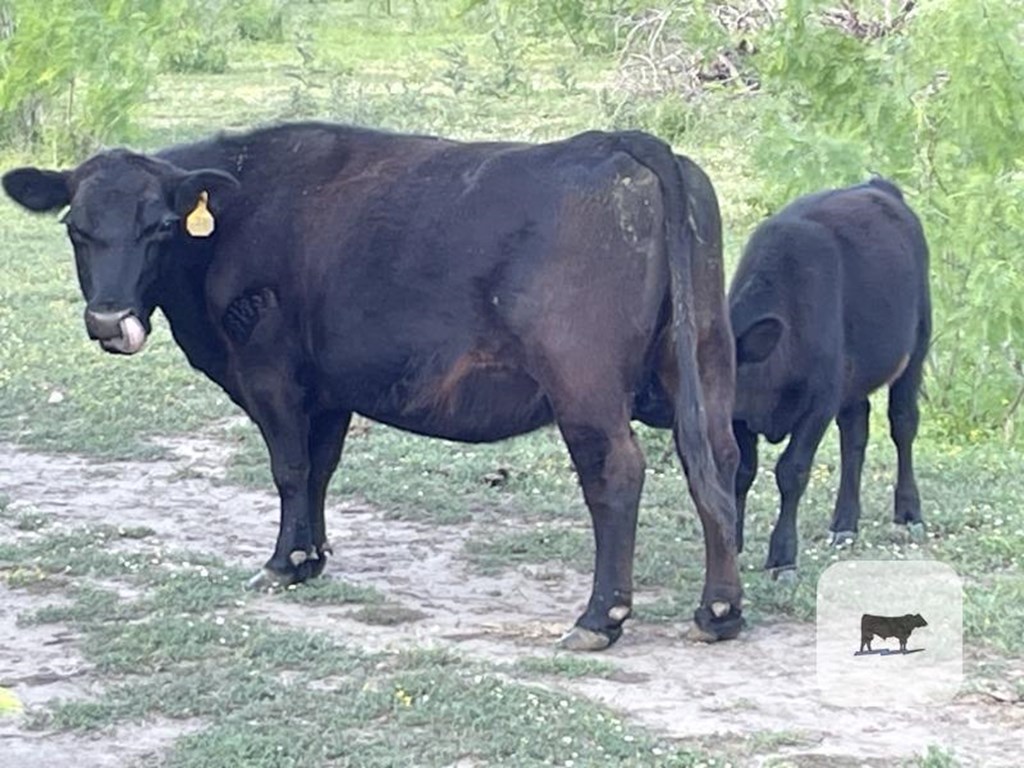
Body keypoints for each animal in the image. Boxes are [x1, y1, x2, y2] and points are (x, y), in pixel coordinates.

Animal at [6, 120, 745, 651]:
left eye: (160, 227)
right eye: (76, 229)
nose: (109, 320)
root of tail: (620, 142)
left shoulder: (270, 372)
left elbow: (289, 467)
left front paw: (283, 562)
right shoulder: (330, 389)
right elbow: (321, 467)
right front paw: (312, 557)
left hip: (582, 381)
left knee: (616, 472)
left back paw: (600, 618)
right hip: (705, 356)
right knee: (716, 460)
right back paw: (720, 609)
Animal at [729, 179, 929, 577]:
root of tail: (878, 185)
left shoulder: (819, 401)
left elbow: (792, 471)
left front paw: (783, 556)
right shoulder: (741, 416)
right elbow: (743, 471)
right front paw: (734, 545)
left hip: (916, 346)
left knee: (903, 423)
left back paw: (909, 511)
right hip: (853, 381)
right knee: (855, 432)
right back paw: (845, 522)